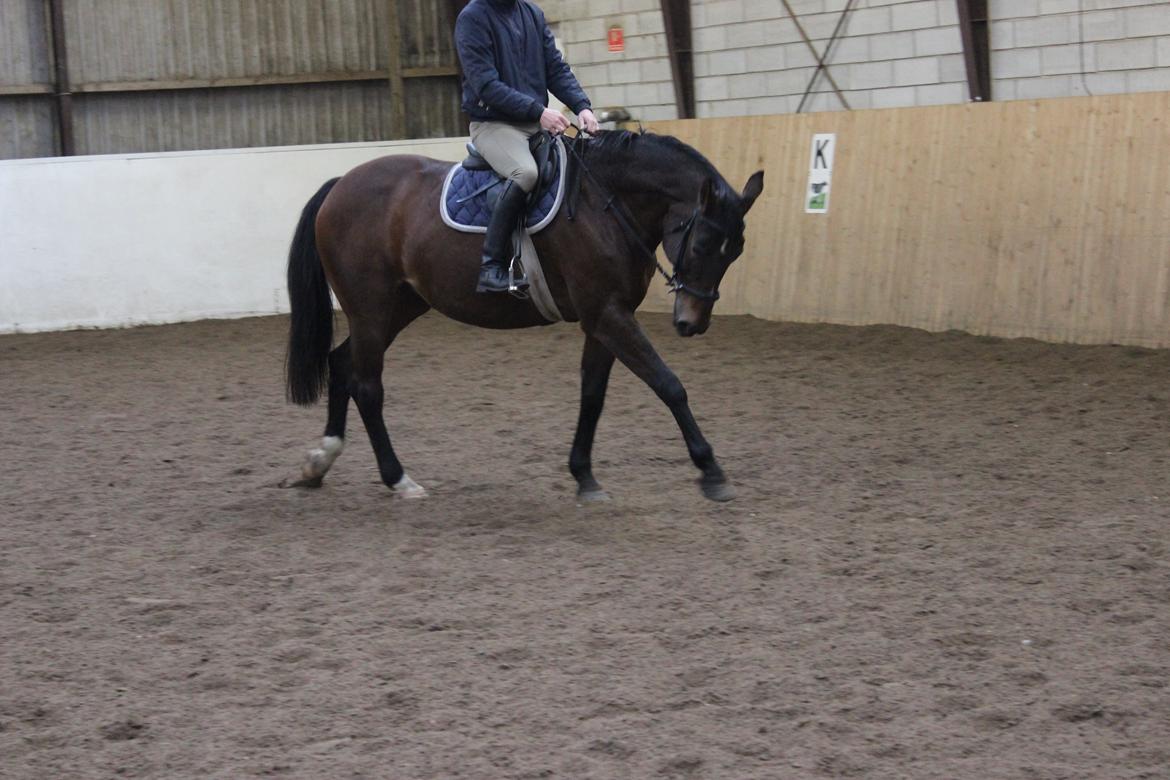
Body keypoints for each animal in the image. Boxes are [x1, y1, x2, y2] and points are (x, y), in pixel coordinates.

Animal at [280, 130, 758, 502]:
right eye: (702, 245)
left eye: (736, 252)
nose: (693, 323)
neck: (603, 203)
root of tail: (342, 184)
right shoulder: (608, 315)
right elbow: (669, 385)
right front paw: (711, 472)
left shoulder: (604, 316)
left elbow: (592, 395)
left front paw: (584, 476)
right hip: (370, 309)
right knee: (367, 386)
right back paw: (398, 479)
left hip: (399, 306)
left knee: (341, 364)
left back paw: (319, 463)